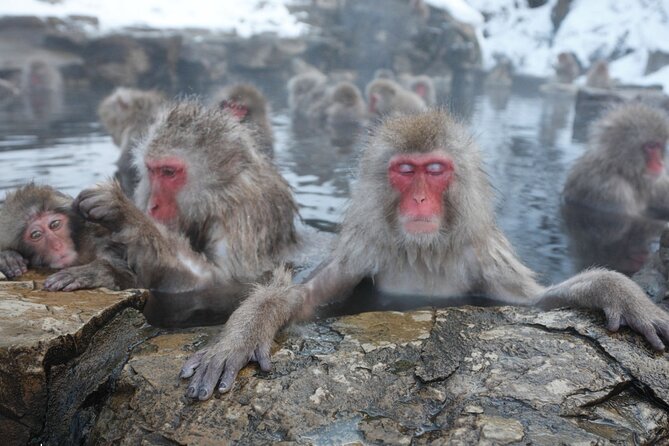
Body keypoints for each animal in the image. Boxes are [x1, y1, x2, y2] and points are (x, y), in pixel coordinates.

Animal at [0, 183, 136, 291]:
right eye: (36, 235)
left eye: (54, 224)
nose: (57, 245)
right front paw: (7, 257)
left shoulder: (104, 245)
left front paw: (89, 273)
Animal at [74, 101, 299, 306]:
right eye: (152, 170)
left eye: (169, 172)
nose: (152, 206)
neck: (216, 196)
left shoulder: (243, 216)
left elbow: (218, 280)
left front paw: (125, 213)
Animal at [180, 110, 669, 400]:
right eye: (404, 171)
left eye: (434, 170)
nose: (418, 200)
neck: (424, 250)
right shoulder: (364, 250)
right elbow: (302, 299)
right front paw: (239, 336)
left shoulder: (484, 256)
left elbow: (534, 302)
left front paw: (619, 292)